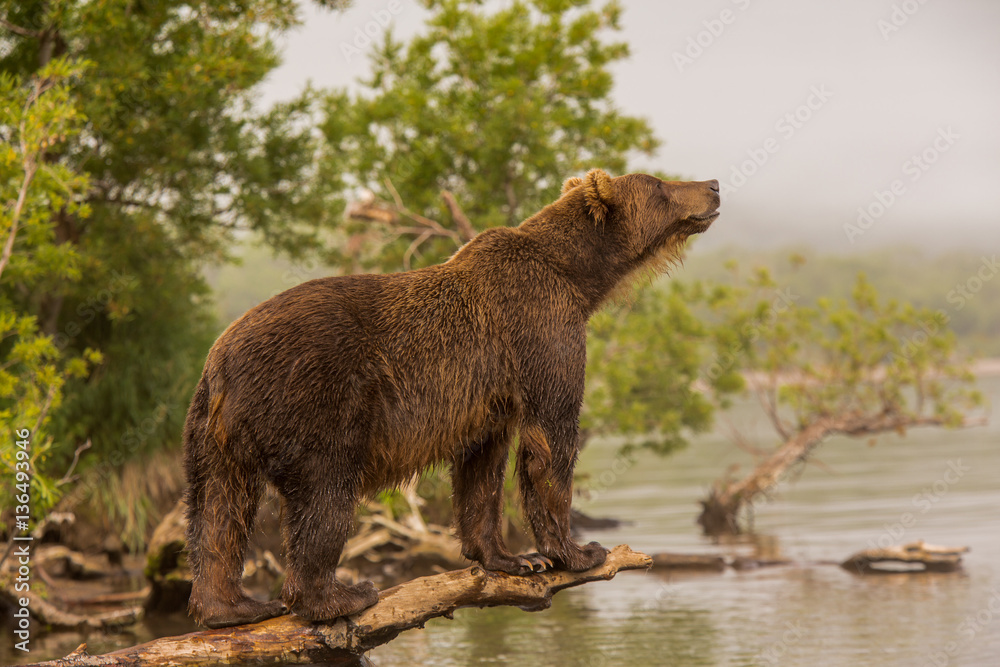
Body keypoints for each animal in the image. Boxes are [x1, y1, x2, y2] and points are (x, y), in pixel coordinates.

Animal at [182, 169, 720, 628]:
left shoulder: (489, 395)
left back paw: (233, 607)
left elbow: (482, 469)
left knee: (218, 510)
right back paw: (340, 596)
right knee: (324, 492)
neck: (579, 277)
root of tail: (220, 361)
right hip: (317, 399)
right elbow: (552, 439)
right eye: (660, 184)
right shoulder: (541, 327)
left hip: (213, 432)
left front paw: (514, 558)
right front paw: (577, 551)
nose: (713, 186)